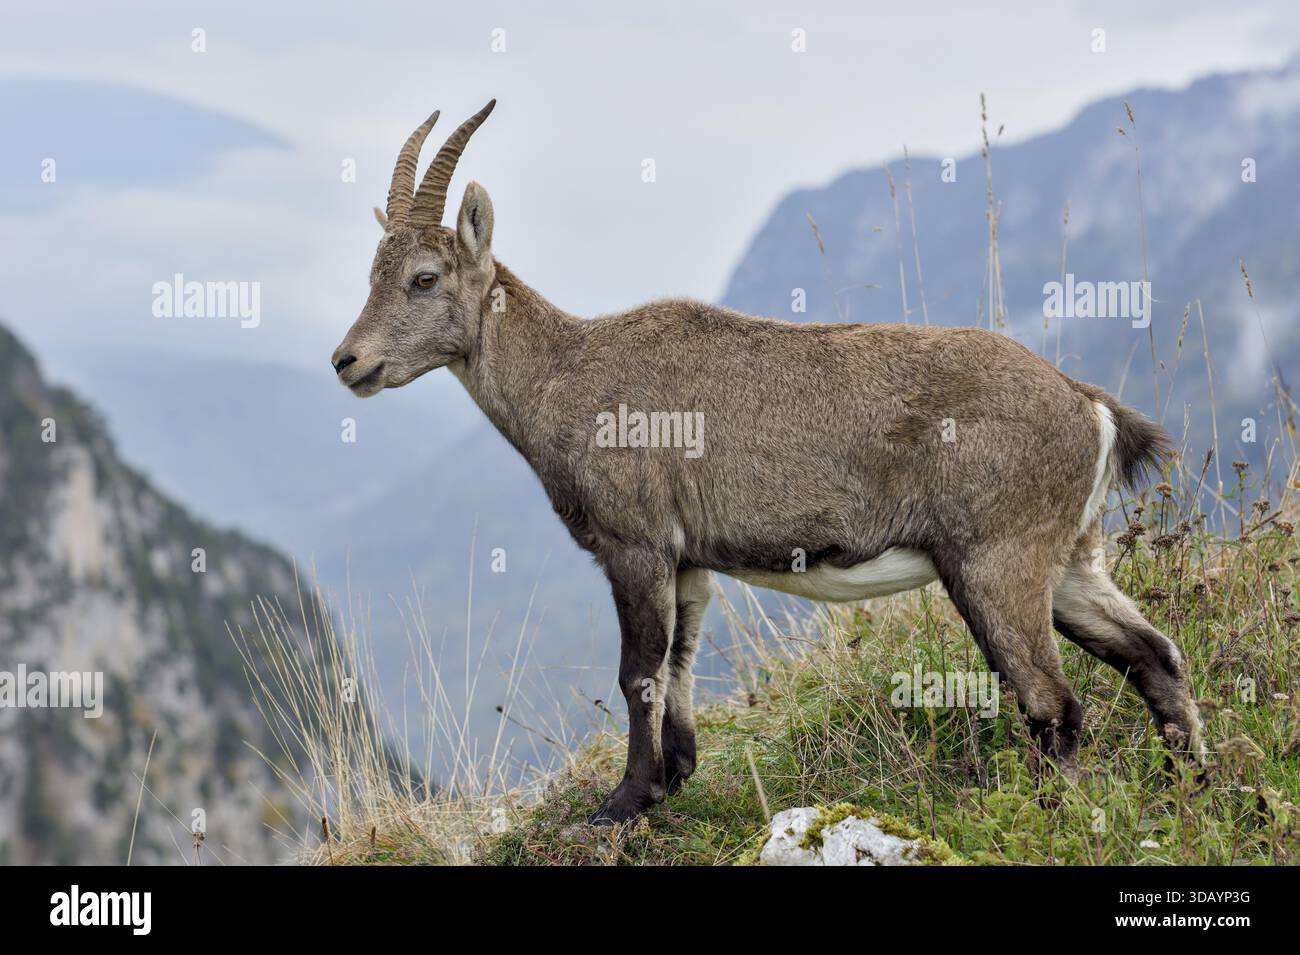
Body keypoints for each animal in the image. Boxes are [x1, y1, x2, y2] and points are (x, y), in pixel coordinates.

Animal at [332, 102, 1202, 824]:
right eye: (372, 272)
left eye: (423, 277)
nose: (348, 361)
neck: (567, 373)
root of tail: (1088, 405)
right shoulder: (687, 559)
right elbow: (679, 662)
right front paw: (674, 775)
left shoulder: (636, 545)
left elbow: (637, 673)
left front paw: (622, 803)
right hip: (1072, 558)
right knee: (1154, 655)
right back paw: (1186, 791)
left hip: (996, 561)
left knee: (1054, 700)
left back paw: (1058, 811)